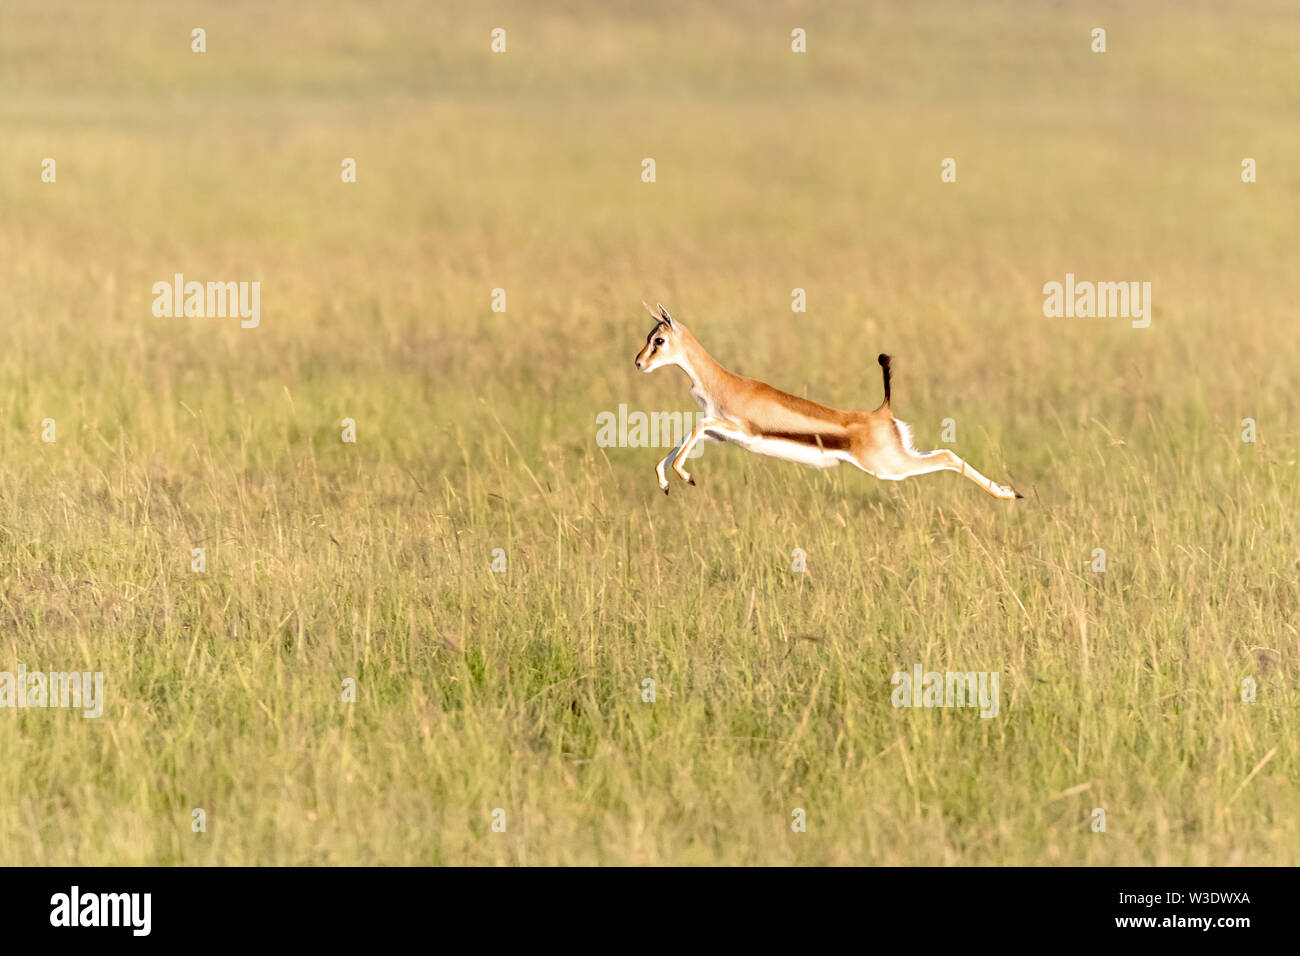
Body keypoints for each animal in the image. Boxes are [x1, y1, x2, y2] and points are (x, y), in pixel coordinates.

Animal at [633, 302, 1022, 500]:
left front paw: (685, 476)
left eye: (658, 340)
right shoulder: (720, 434)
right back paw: (1007, 491)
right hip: (900, 455)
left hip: (889, 467)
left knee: (947, 457)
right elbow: (685, 436)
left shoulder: (736, 427)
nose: (638, 363)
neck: (723, 382)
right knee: (944, 452)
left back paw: (1007, 495)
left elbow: (696, 427)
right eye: (649, 337)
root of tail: (882, 412)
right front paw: (665, 481)